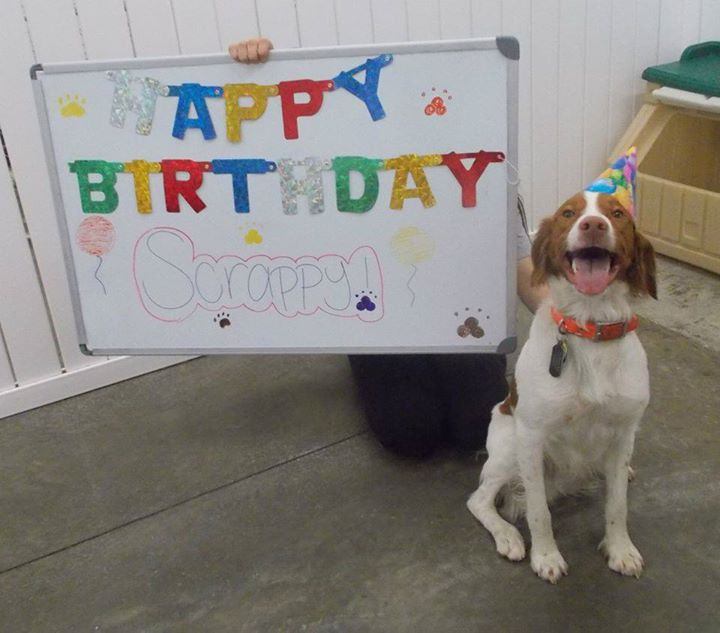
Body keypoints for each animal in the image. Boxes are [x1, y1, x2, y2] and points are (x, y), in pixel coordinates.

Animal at [467, 190, 657, 583]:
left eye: (617, 214)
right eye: (569, 213)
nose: (593, 224)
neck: (591, 327)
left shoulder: (623, 432)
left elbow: (617, 505)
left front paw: (620, 550)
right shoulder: (531, 437)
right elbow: (539, 511)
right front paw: (546, 556)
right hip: (509, 449)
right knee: (479, 499)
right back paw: (507, 536)